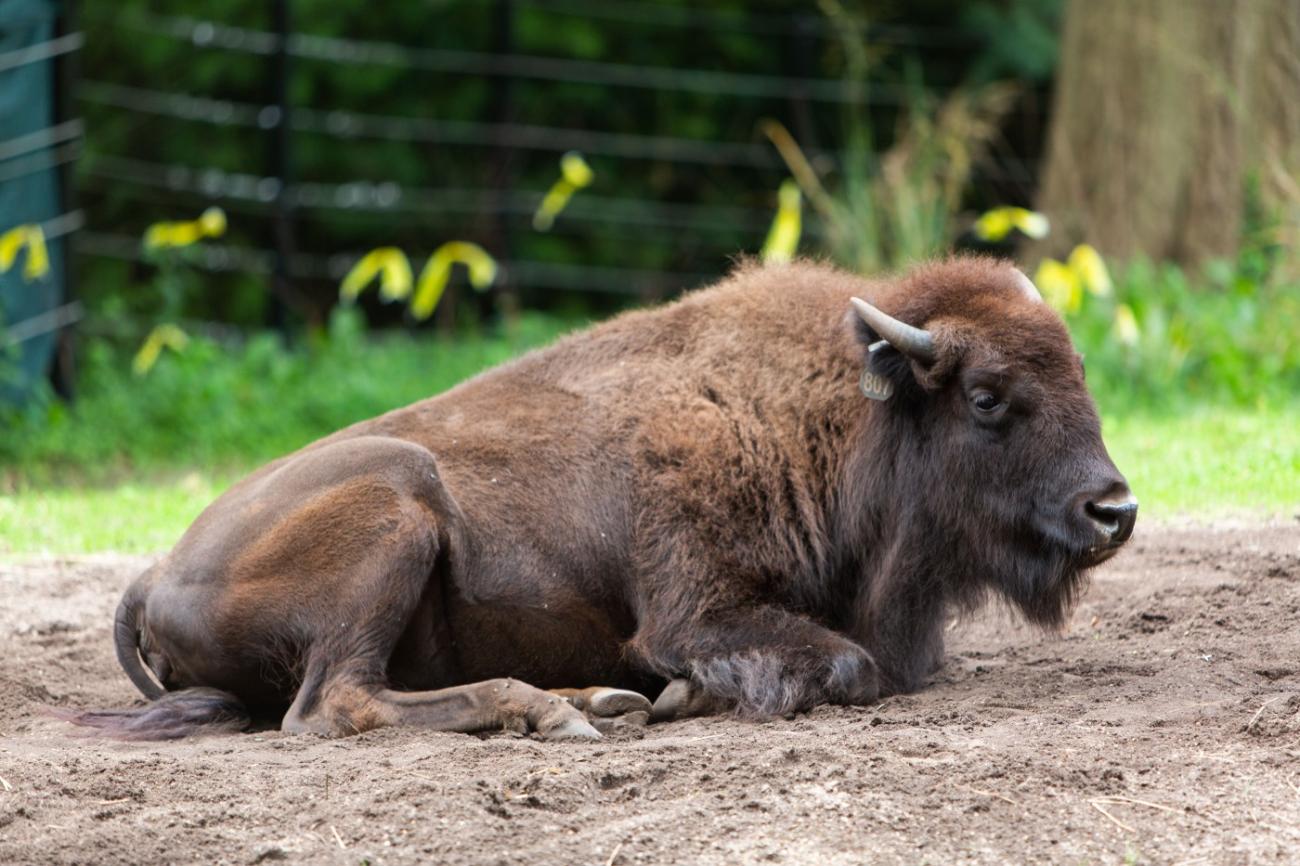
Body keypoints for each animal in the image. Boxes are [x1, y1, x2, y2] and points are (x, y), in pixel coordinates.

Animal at [65, 253, 1133, 738]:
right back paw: (565, 711)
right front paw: (687, 693)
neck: (832, 417)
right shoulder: (695, 607)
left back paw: (599, 700)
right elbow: (842, 664)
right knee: (336, 703)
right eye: (988, 397)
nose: (1112, 511)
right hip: (398, 509)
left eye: (1081, 374)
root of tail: (155, 572)